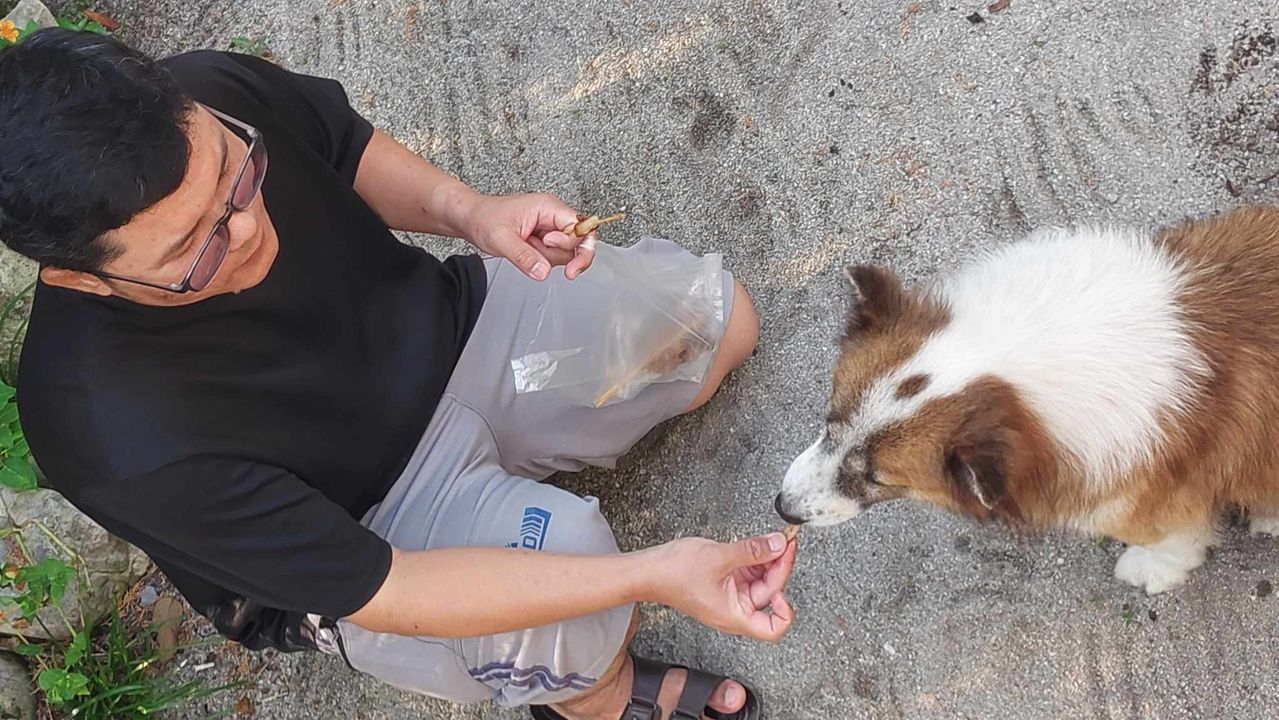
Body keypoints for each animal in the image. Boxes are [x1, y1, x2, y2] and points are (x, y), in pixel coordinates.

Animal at [775, 206, 1279, 594]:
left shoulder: (1155, 505)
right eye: (829, 422)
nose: (782, 507)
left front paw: (1150, 569)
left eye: (877, 478)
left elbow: (1174, 543)